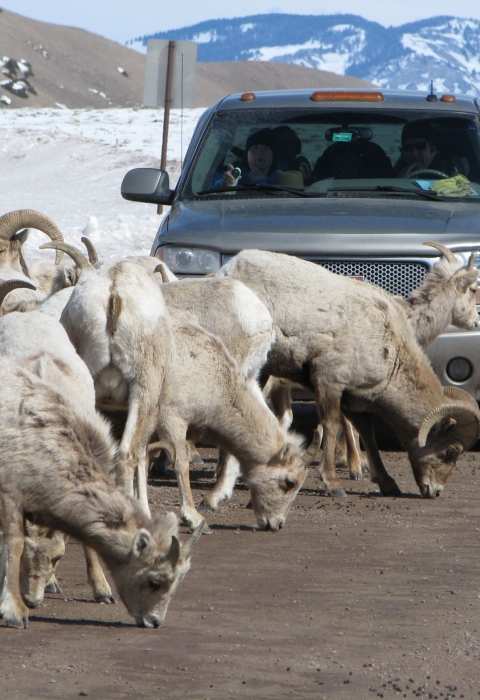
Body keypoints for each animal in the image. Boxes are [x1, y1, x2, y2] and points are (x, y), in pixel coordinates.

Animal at [217, 249, 480, 499]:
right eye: (450, 451)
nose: (435, 491)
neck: (390, 346)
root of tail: (226, 271)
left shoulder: (354, 396)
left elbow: (366, 432)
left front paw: (385, 482)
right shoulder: (329, 382)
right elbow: (332, 426)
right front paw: (334, 482)